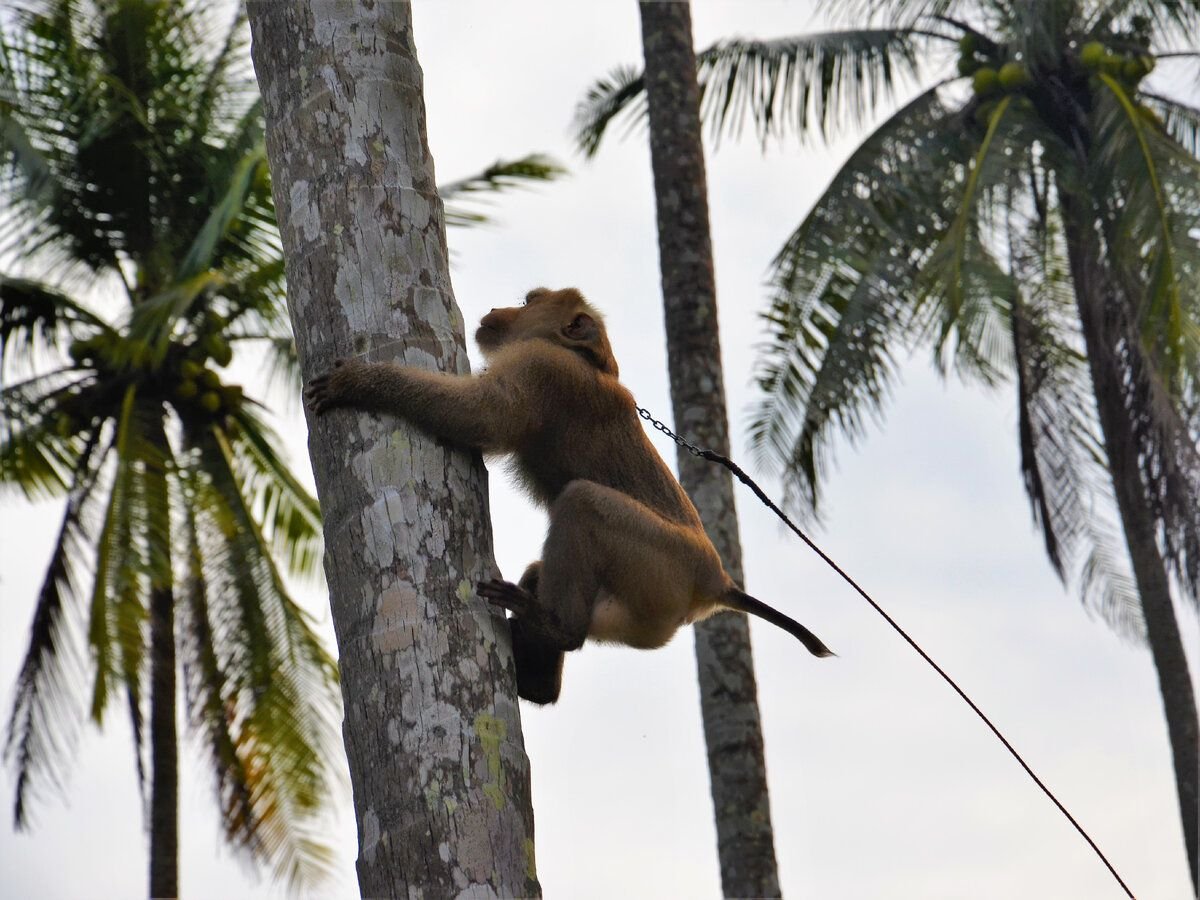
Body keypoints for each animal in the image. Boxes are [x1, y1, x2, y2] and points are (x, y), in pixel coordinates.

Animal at [307, 289, 835, 705]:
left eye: (528, 302)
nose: (497, 309)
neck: (587, 360)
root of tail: (716, 582)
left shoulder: (542, 367)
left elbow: (480, 417)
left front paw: (357, 382)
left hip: (663, 564)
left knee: (582, 502)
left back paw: (557, 627)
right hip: (642, 609)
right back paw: (539, 675)